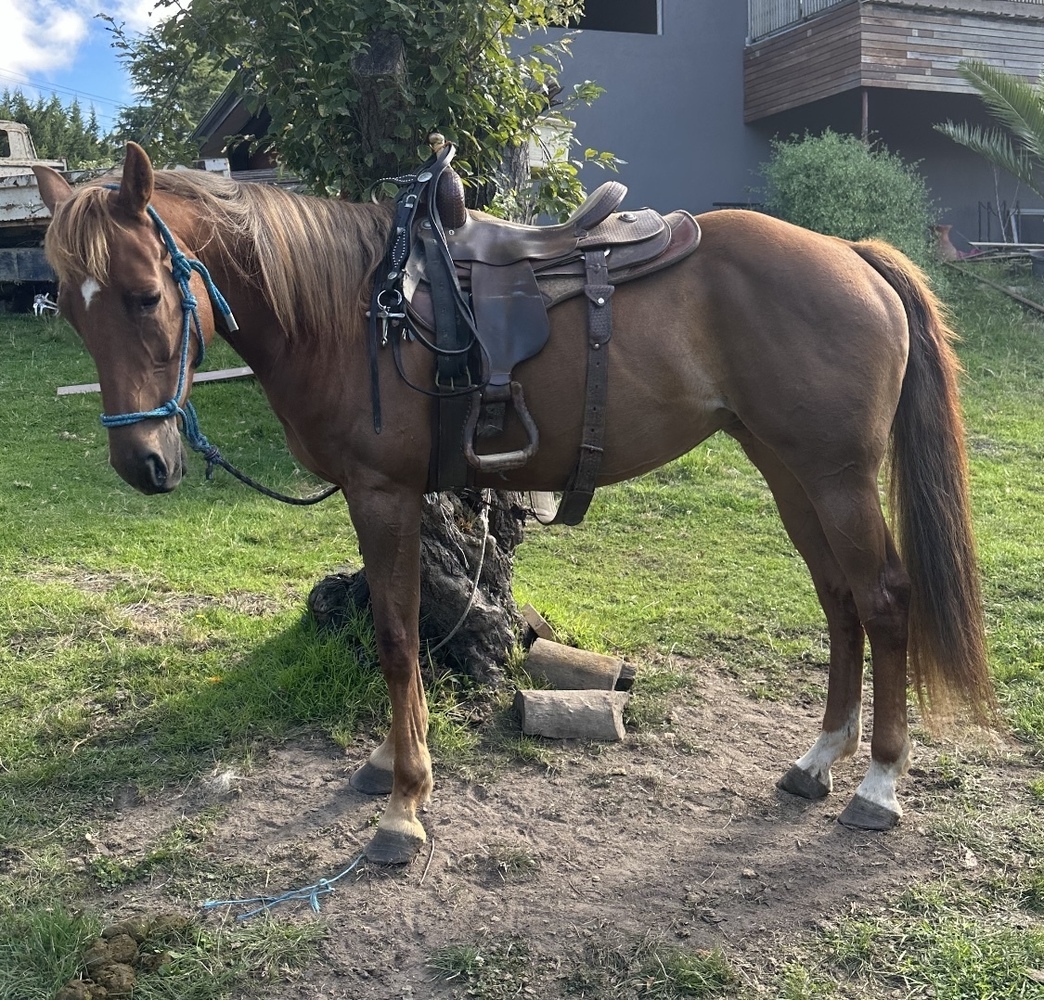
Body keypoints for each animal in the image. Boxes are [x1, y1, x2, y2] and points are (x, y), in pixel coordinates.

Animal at [33, 143, 993, 865]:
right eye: (72, 315)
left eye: (146, 297)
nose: (143, 464)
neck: (354, 310)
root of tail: (851, 253)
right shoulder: (381, 500)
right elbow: (406, 633)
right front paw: (392, 762)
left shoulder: (383, 496)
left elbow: (395, 641)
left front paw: (404, 806)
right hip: (789, 469)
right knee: (839, 600)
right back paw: (819, 758)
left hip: (835, 476)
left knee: (883, 600)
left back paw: (878, 784)